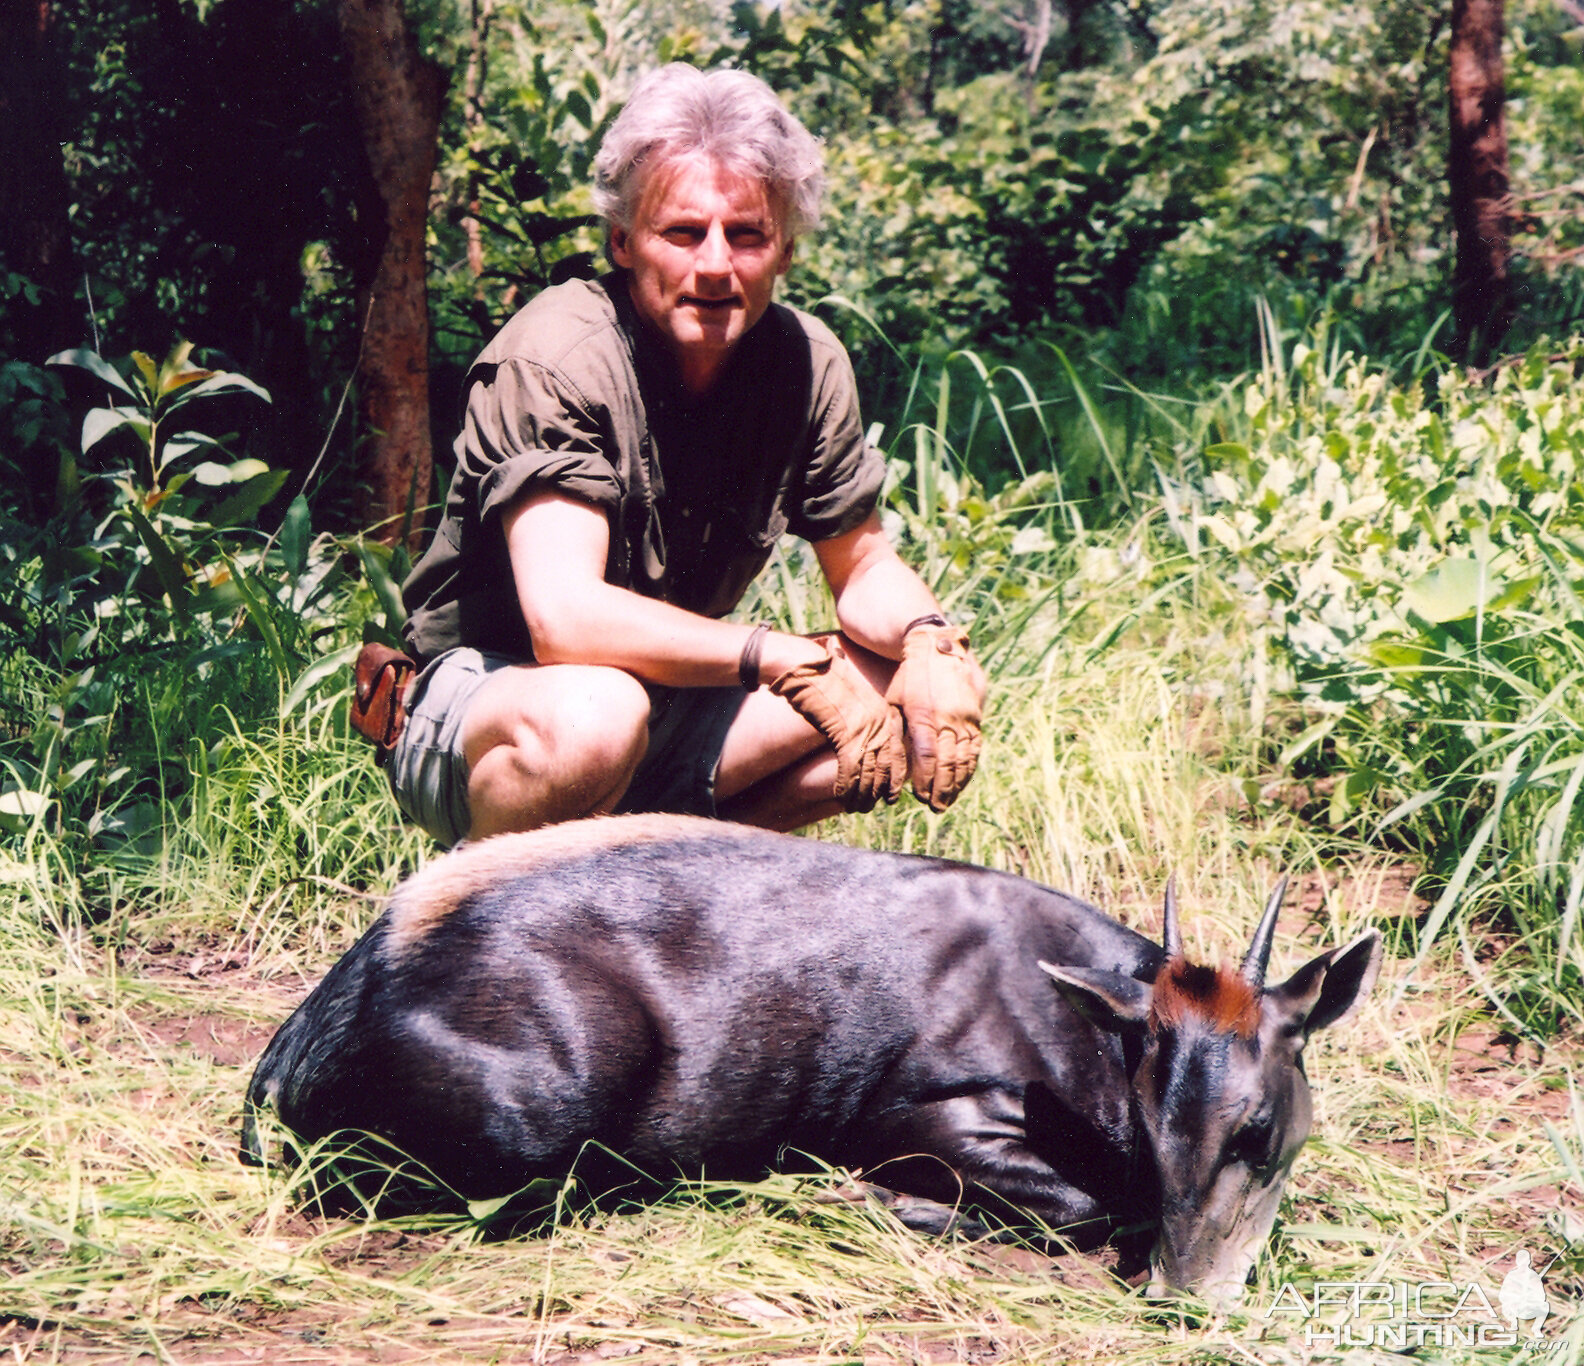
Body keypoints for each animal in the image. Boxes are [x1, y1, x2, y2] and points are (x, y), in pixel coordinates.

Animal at [240, 811, 1381, 1305]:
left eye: (1261, 1126)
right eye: (1150, 1118)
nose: (1188, 1294)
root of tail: (308, 1032)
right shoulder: (916, 1105)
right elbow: (1084, 1205)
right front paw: (881, 1201)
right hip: (542, 1099)